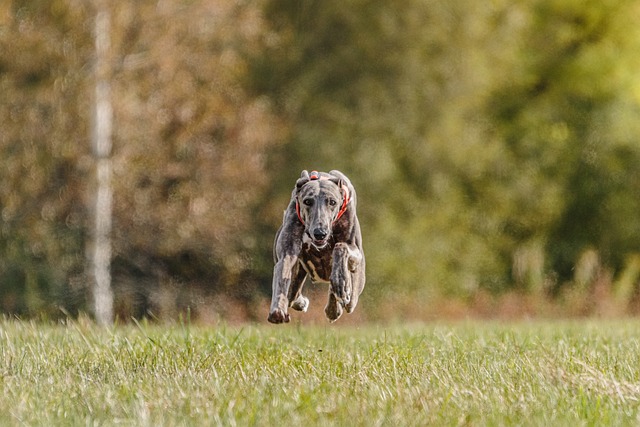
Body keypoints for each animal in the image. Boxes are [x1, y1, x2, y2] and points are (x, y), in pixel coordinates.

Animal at [266, 171, 364, 324]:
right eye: (307, 201)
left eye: (332, 202)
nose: (319, 233)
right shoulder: (287, 252)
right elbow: (283, 271)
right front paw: (277, 311)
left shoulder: (355, 251)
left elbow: (341, 246)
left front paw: (341, 281)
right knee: (293, 294)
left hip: (355, 289)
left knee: (346, 300)